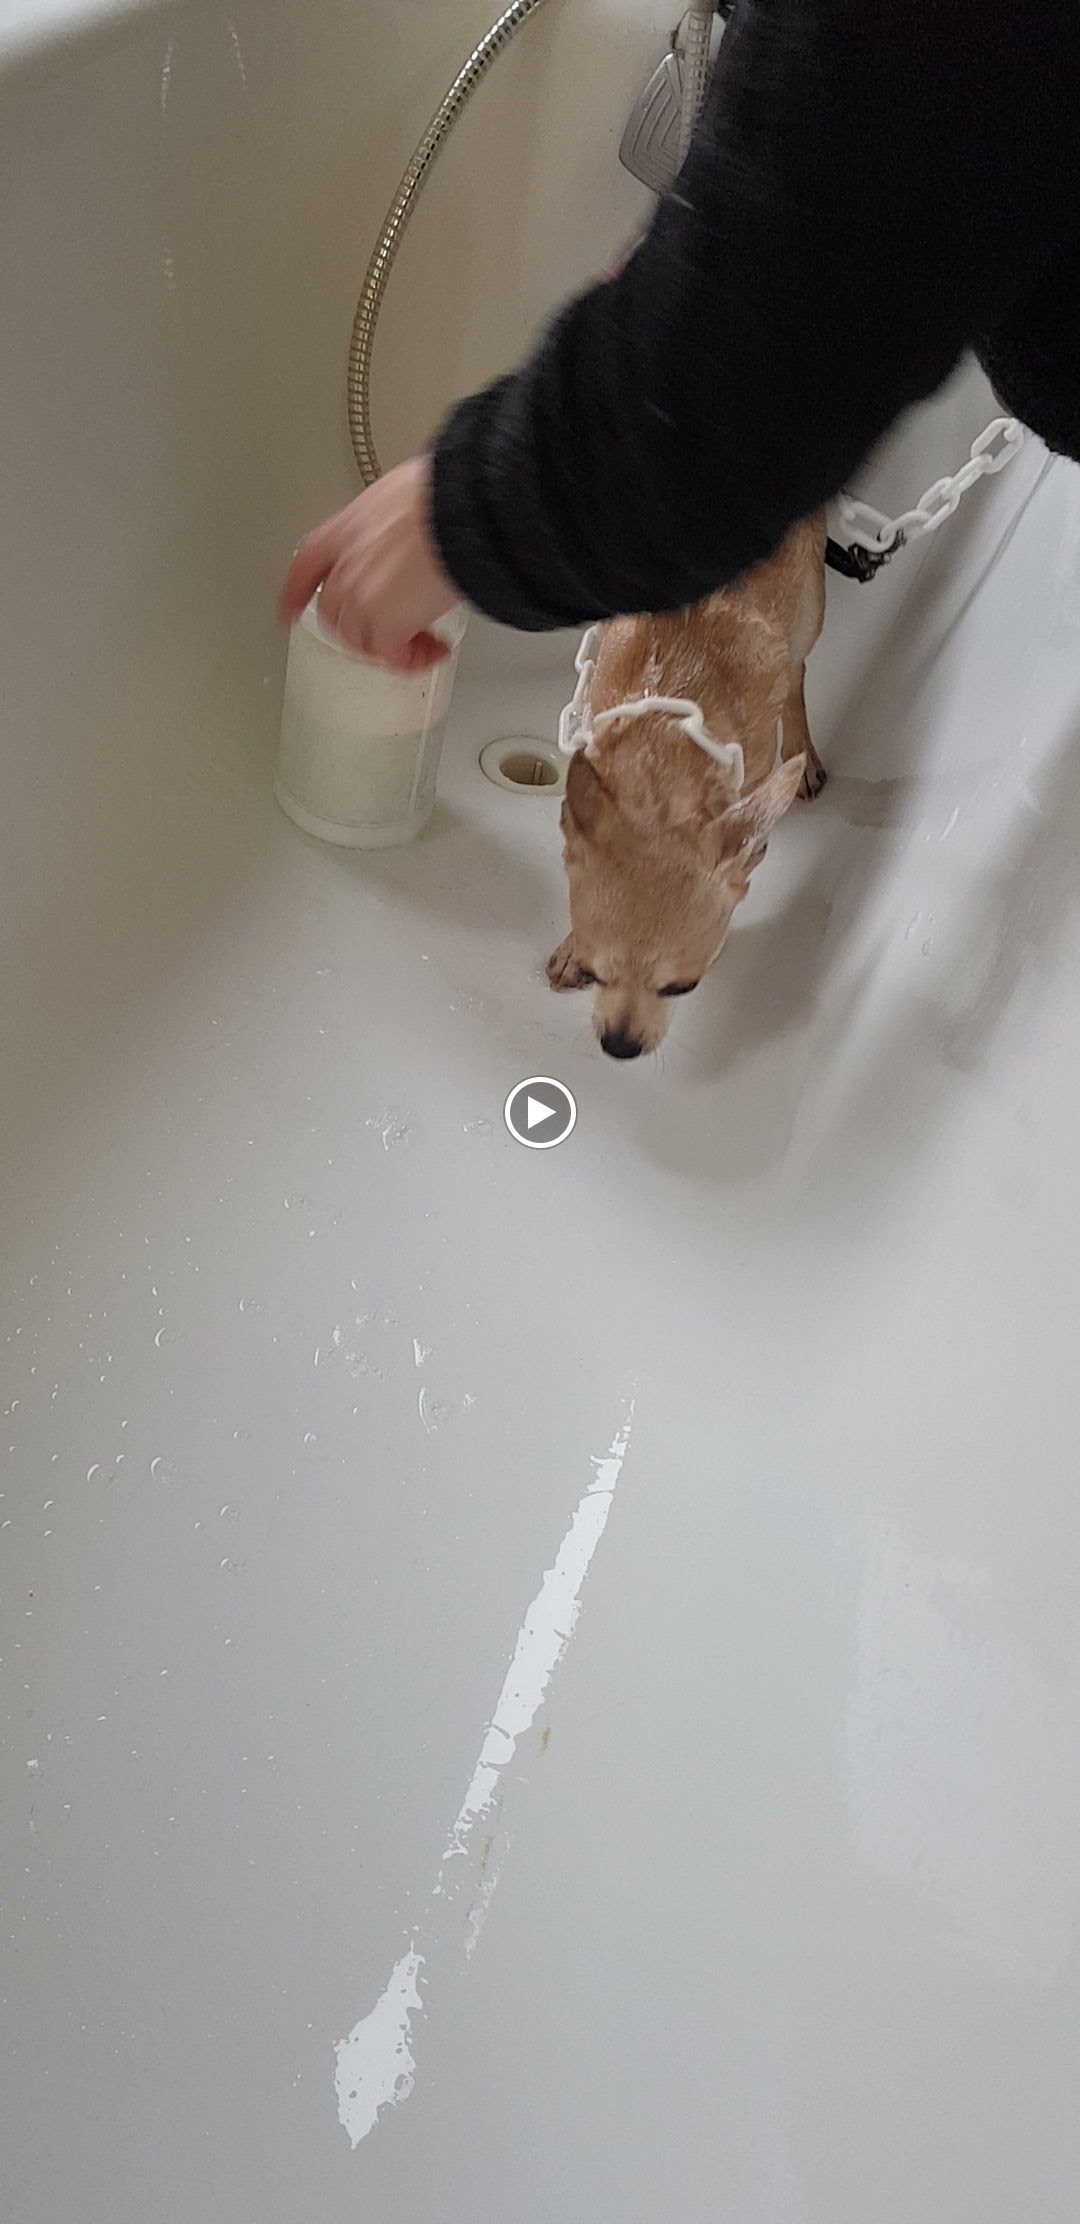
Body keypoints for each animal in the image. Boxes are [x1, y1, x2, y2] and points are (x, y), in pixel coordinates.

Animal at [547, 515, 826, 1058]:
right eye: (593, 971)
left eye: (683, 987)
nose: (619, 1046)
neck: (666, 725)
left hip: (809, 605)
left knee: (798, 670)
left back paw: (801, 753)